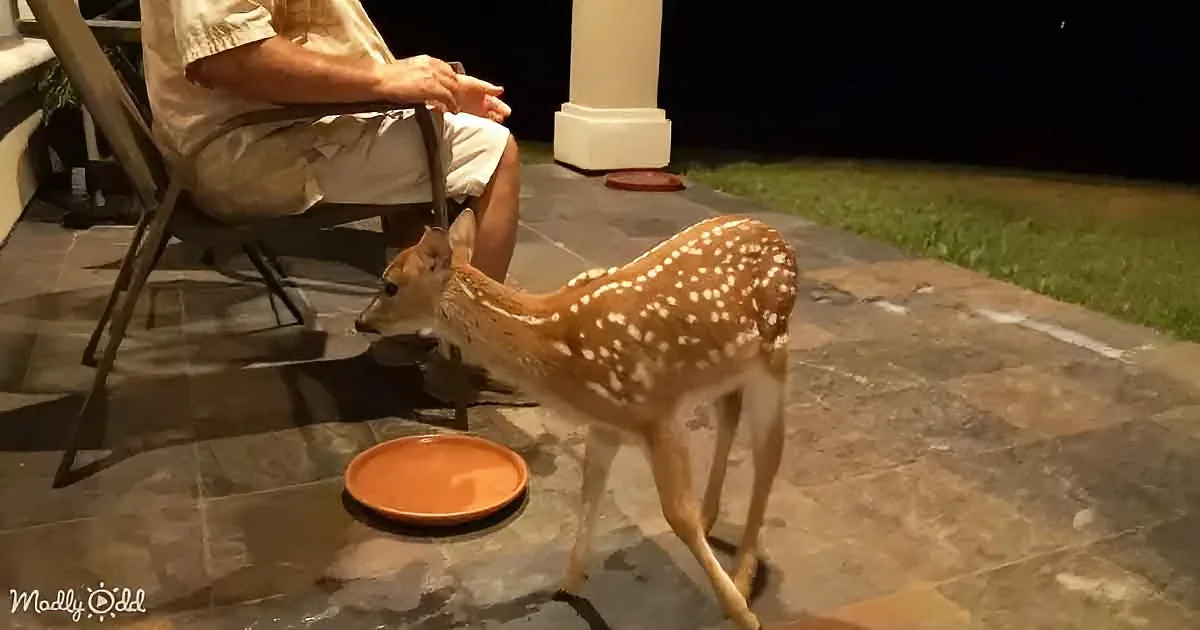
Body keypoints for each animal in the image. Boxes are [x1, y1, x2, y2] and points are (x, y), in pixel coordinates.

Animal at [355, 209, 799, 630]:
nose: (361, 322)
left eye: (390, 284)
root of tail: (781, 239)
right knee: (730, 416)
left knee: (770, 453)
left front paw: (743, 615)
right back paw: (715, 524)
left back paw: (743, 577)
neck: (555, 341)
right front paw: (568, 584)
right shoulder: (606, 424)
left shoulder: (657, 414)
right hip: (727, 370)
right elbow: (590, 492)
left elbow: (678, 516)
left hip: (773, 354)